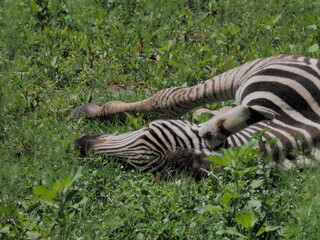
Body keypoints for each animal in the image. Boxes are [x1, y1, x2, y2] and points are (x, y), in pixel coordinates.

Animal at [74, 54, 320, 176]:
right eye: (147, 128)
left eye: (131, 167)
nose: (80, 144)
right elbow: (171, 98)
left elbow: (165, 99)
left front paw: (91, 111)